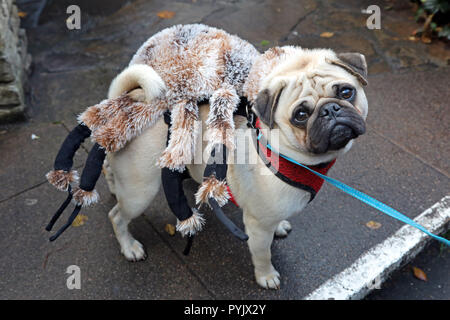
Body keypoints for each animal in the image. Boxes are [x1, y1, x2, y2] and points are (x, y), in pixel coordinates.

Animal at [105, 44, 370, 288]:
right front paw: (266, 276)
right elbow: (263, 254)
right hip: (140, 192)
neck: (282, 152)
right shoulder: (257, 227)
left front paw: (280, 226)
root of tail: (132, 105)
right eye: (301, 115)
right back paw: (129, 247)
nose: (330, 109)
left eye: (347, 92)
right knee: (117, 216)